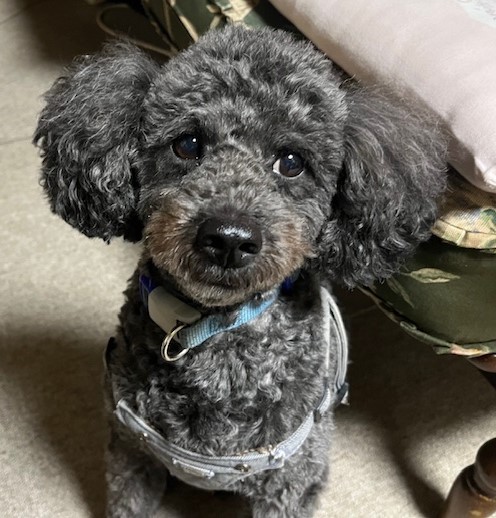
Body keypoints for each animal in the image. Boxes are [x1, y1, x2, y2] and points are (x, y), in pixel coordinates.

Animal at [34, 25, 446, 518]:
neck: (212, 328)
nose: (229, 238)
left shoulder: (288, 482)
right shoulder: (131, 451)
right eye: (187, 144)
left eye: (292, 162)